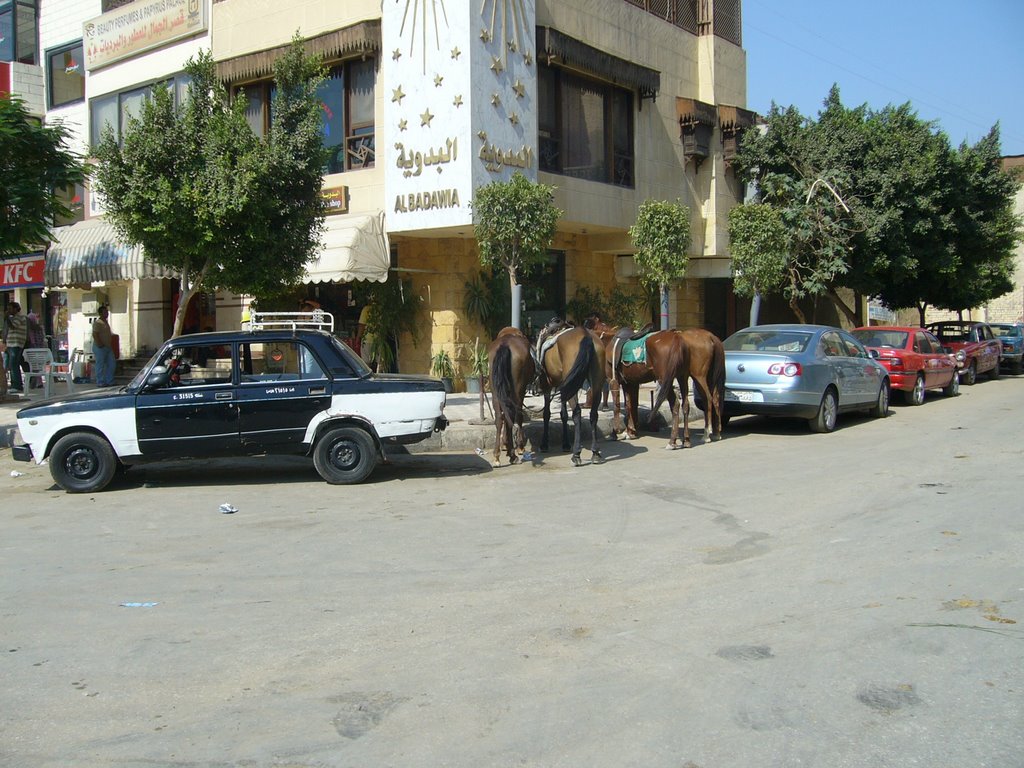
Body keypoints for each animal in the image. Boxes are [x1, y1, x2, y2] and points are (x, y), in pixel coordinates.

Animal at [487, 327, 536, 466]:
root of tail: (505, 344)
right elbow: (518, 416)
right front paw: (519, 446)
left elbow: (504, 416)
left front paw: (505, 444)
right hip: (518, 390)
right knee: (514, 413)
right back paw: (513, 454)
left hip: (495, 391)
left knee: (500, 417)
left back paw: (497, 455)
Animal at [536, 317, 606, 466]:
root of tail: (586, 336)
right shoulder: (565, 386)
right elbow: (563, 414)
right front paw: (565, 443)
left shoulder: (547, 386)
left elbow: (547, 413)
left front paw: (544, 444)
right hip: (596, 382)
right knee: (593, 414)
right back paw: (595, 452)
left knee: (577, 413)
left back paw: (576, 454)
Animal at [585, 319, 729, 450]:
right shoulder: (630, 383)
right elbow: (630, 406)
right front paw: (630, 431)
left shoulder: (613, 381)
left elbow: (617, 407)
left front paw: (616, 432)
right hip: (685, 377)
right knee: (693, 403)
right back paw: (691, 439)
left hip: (682, 378)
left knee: (693, 401)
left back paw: (683, 439)